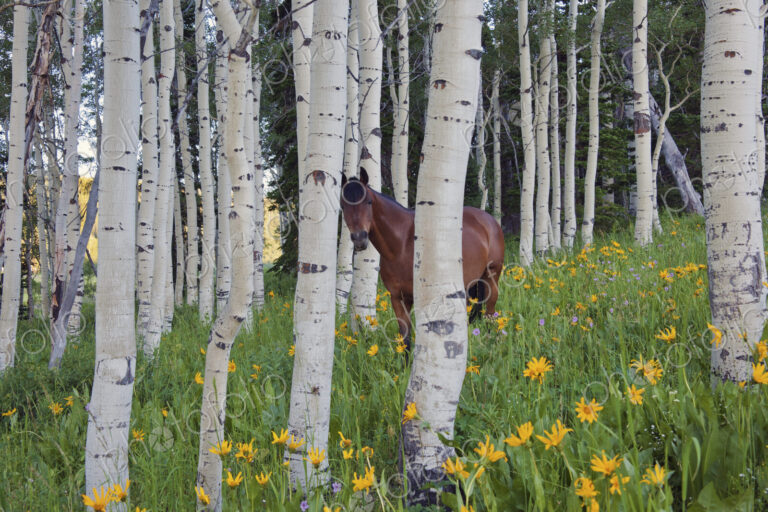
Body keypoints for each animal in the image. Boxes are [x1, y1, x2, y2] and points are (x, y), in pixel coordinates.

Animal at [340, 168, 505, 349]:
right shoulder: (397, 298)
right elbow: (405, 339)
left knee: (490, 311)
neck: (401, 246)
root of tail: (488, 220)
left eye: (369, 202)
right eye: (343, 205)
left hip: (491, 276)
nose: (359, 238)